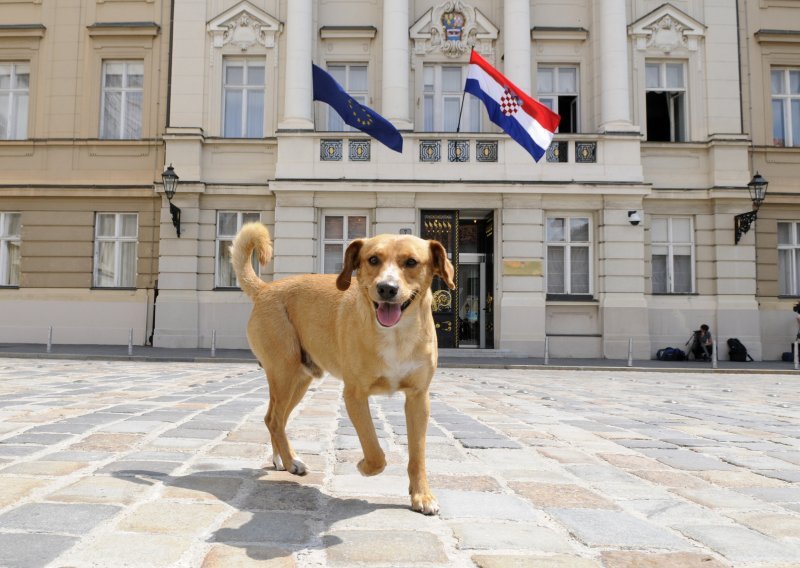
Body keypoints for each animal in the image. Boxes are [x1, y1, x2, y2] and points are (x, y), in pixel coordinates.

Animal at [231, 223, 456, 516]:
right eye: (373, 259)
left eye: (411, 262)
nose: (386, 288)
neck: (396, 335)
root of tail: (265, 288)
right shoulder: (354, 395)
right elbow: (375, 451)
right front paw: (364, 467)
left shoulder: (418, 398)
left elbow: (417, 455)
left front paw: (422, 495)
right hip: (284, 374)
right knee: (275, 420)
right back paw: (292, 462)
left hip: (300, 380)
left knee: (273, 419)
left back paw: (282, 459)